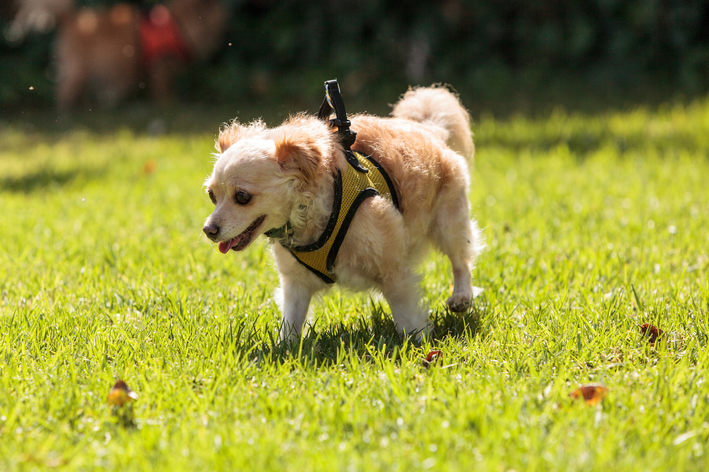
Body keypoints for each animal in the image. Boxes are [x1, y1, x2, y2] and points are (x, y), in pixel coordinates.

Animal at [202, 85, 484, 342]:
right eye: (212, 196)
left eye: (242, 197)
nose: (208, 230)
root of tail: (431, 131)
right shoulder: (295, 283)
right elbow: (291, 324)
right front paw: (286, 352)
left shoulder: (394, 271)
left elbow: (407, 318)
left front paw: (416, 348)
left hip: (448, 224)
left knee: (461, 259)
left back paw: (461, 296)